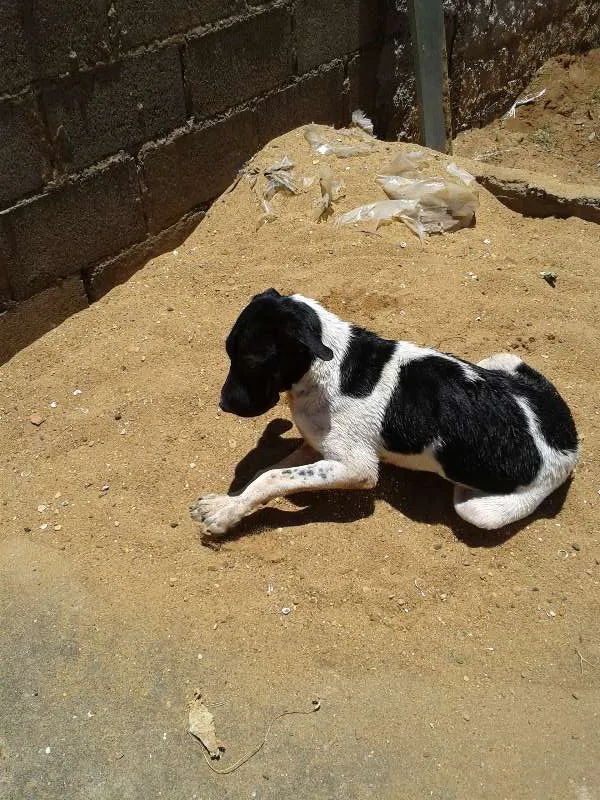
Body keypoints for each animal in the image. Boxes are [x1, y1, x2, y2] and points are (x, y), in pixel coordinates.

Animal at [191, 290, 576, 536]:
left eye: (251, 360)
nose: (223, 404)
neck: (328, 371)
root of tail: (570, 440)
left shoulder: (358, 468)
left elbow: (271, 478)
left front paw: (225, 515)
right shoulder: (315, 444)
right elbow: (267, 472)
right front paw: (229, 503)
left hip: (480, 510)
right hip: (503, 358)